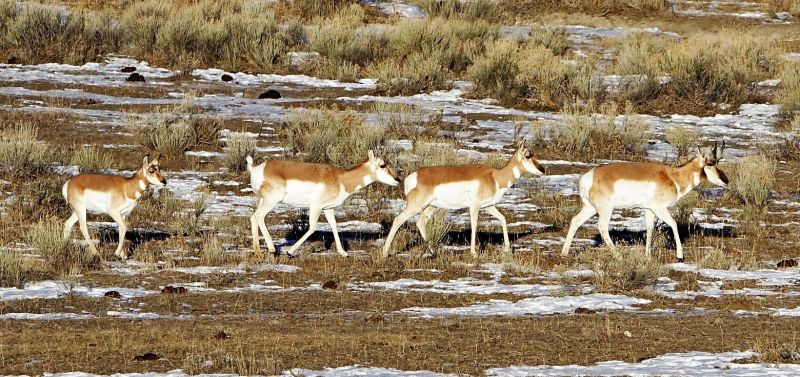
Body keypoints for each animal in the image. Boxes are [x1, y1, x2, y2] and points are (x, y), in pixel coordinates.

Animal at [247, 150, 400, 258]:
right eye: (383, 165)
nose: (398, 179)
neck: (340, 178)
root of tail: (257, 168)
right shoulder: (316, 207)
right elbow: (313, 227)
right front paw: (290, 252)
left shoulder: (328, 208)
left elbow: (334, 225)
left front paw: (343, 253)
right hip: (271, 201)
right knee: (259, 217)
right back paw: (272, 249)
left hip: (263, 200)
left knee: (253, 217)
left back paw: (259, 253)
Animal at [380, 142, 544, 258]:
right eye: (528, 155)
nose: (542, 169)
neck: (494, 177)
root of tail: (413, 176)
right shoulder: (474, 207)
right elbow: (474, 225)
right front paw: (474, 253)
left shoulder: (488, 206)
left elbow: (503, 219)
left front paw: (507, 250)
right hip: (417, 206)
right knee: (398, 220)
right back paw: (385, 252)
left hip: (430, 207)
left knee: (420, 223)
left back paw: (434, 251)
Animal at [564, 142, 724, 260]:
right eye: (710, 163)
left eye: (717, 162)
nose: (726, 181)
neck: (672, 176)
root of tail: (589, 176)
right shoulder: (659, 208)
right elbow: (673, 223)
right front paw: (680, 256)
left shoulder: (649, 209)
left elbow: (650, 228)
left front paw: (648, 255)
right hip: (606, 209)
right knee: (602, 227)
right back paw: (619, 256)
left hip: (590, 208)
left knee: (575, 221)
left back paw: (564, 253)